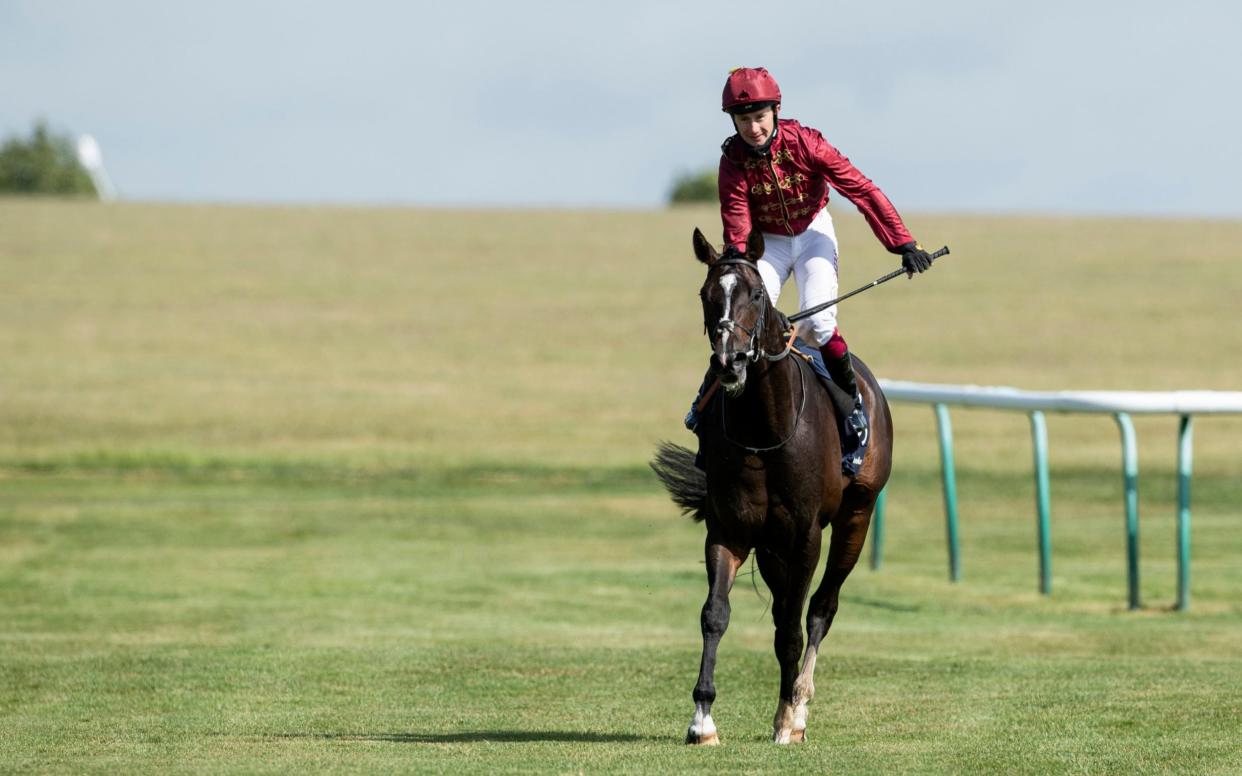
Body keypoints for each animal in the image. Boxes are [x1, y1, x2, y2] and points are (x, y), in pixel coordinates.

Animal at [650, 228, 894, 744]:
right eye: (706, 294)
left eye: (757, 295)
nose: (730, 362)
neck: (765, 427)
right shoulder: (730, 529)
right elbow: (715, 614)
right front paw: (702, 719)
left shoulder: (805, 535)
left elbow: (794, 626)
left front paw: (787, 718)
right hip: (770, 545)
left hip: (856, 516)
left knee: (821, 607)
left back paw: (798, 703)